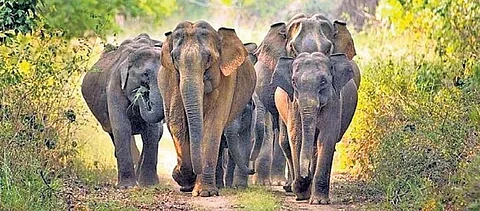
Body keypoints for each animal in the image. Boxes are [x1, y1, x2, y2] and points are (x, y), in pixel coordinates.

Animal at [81, 33, 164, 187]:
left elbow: (152, 131)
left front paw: (148, 185)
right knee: (113, 131)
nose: (142, 94)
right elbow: (122, 127)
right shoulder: (115, 85)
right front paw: (127, 186)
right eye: (145, 74)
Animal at [158, 20, 256, 197]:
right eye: (174, 58)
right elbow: (177, 123)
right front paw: (184, 178)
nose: (253, 170)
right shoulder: (171, 81)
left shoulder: (226, 79)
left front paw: (205, 193)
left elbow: (213, 124)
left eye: (209, 58)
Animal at [272, 52, 358, 204]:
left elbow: (326, 138)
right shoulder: (293, 103)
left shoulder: (334, 101)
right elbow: (296, 137)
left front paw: (319, 201)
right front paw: (301, 193)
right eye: (293, 82)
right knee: (286, 142)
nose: (304, 176)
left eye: (323, 82)